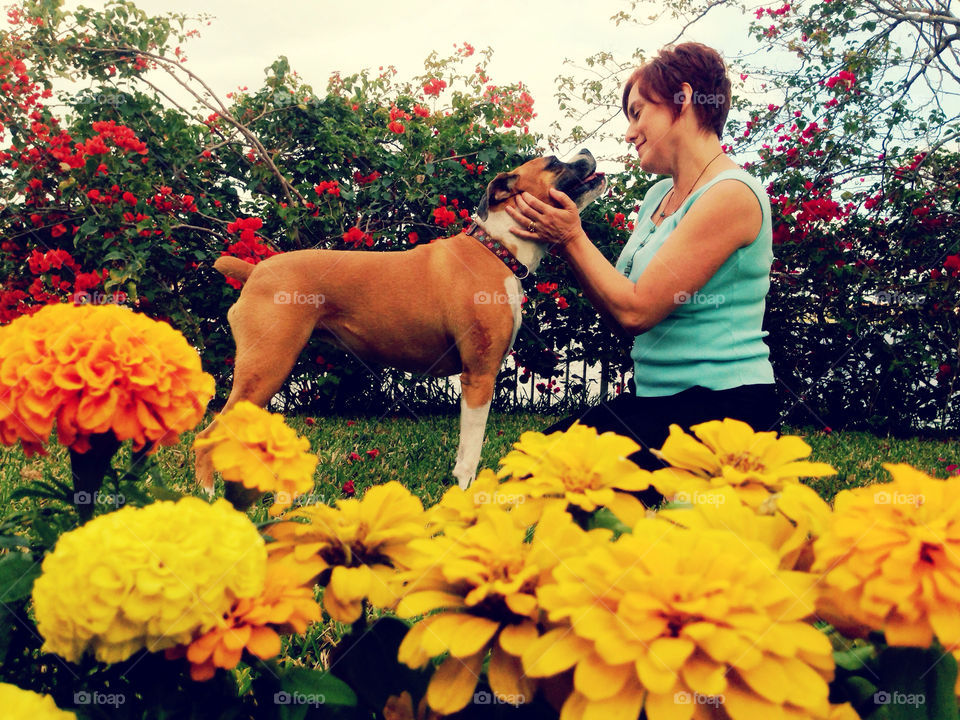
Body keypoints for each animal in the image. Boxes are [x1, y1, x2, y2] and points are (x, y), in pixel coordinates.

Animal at [193, 149, 608, 492]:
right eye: (553, 162)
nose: (589, 152)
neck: (497, 249)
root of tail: (255, 271)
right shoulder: (479, 376)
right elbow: (472, 450)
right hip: (267, 368)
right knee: (210, 434)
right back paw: (210, 496)